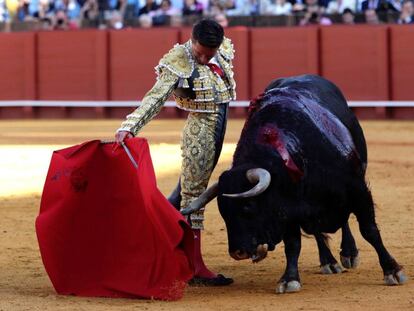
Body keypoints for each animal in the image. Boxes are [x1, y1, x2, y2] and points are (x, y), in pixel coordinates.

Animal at [182, 74, 408, 294]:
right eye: (223, 213)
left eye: (248, 207)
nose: (237, 252)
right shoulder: (288, 209)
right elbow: (293, 244)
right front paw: (289, 279)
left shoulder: (358, 190)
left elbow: (369, 230)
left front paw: (392, 271)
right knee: (317, 231)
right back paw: (328, 261)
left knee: (344, 222)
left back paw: (349, 253)